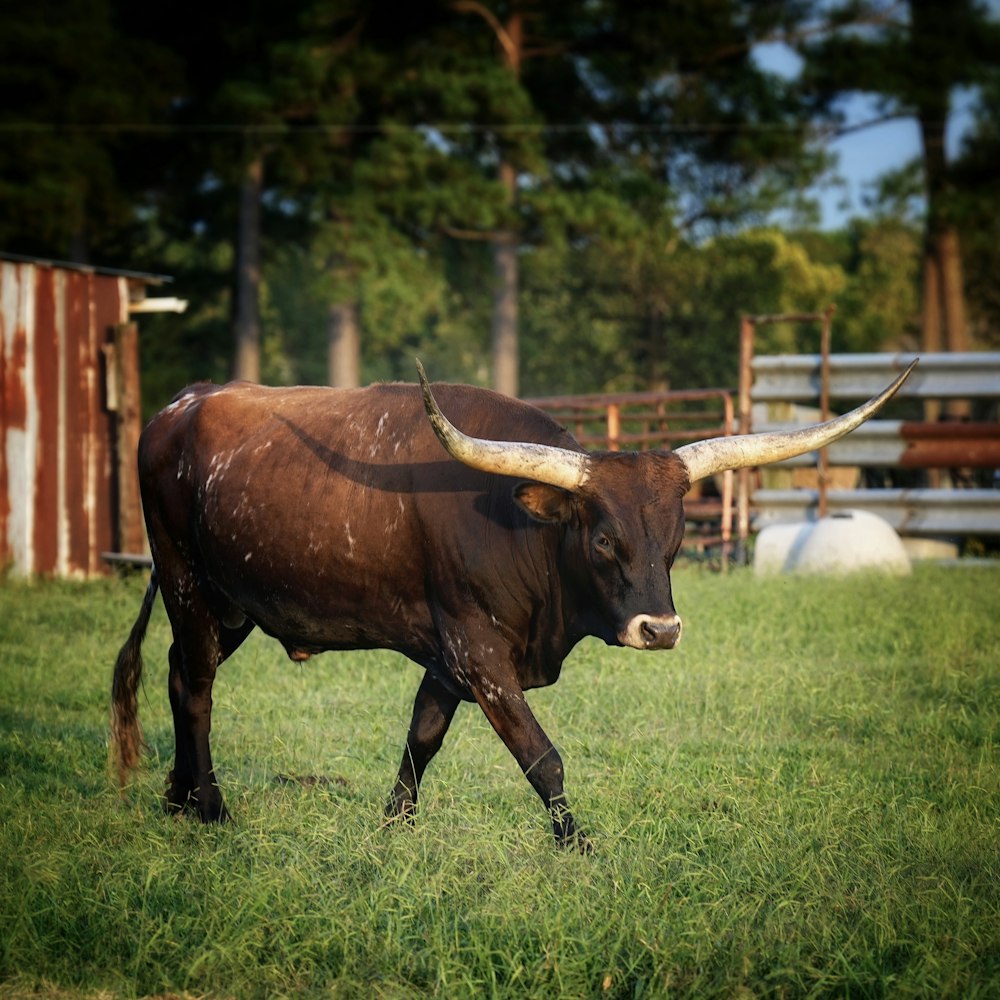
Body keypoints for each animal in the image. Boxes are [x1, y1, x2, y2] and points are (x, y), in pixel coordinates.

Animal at [111, 360, 916, 844]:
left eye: (677, 534)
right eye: (603, 539)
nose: (660, 629)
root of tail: (177, 408)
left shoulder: (446, 658)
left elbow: (421, 740)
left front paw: (393, 829)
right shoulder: (478, 651)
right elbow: (542, 756)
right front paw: (579, 847)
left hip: (231, 604)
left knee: (180, 675)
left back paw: (178, 798)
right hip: (185, 580)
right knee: (198, 689)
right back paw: (213, 810)